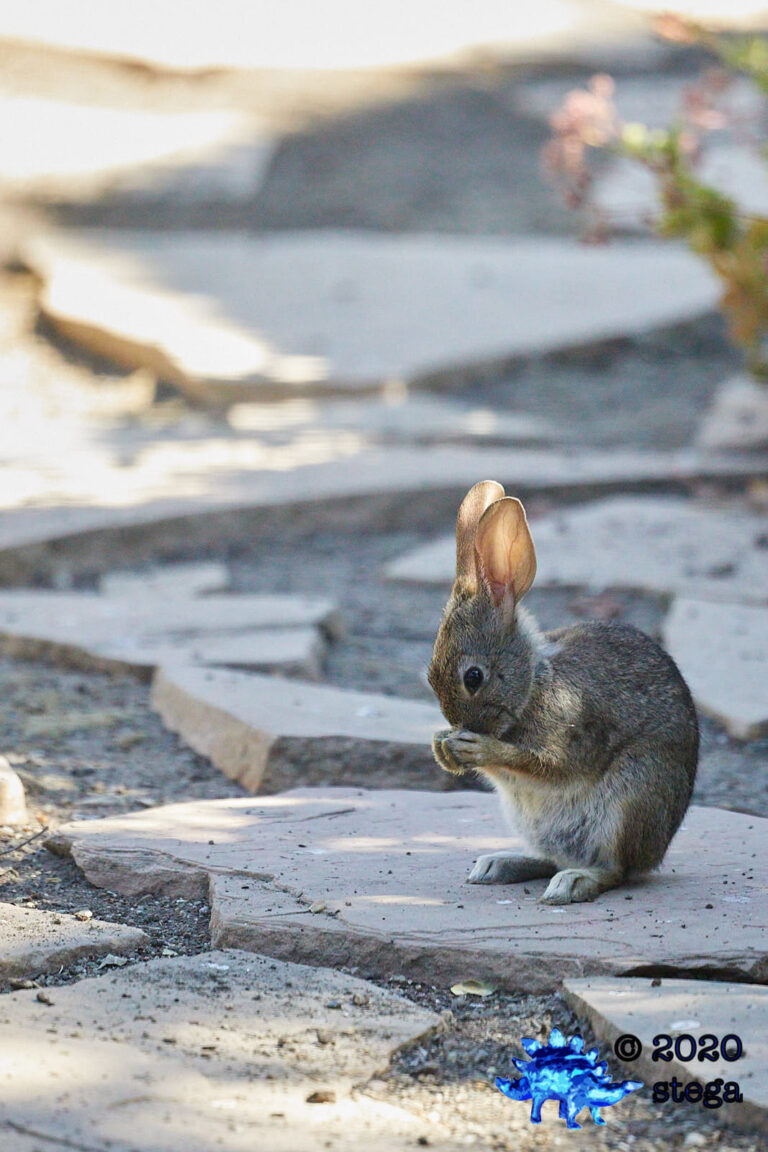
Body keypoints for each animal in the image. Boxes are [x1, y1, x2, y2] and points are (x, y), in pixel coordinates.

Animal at [428, 480, 698, 904]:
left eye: (473, 677)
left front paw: (475, 748)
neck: (533, 684)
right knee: (551, 857)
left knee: (614, 869)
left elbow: (545, 764)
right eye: (429, 677)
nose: (459, 726)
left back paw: (571, 883)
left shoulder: (572, 732)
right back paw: (498, 865)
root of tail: (656, 852)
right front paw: (443, 746)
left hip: (632, 796)